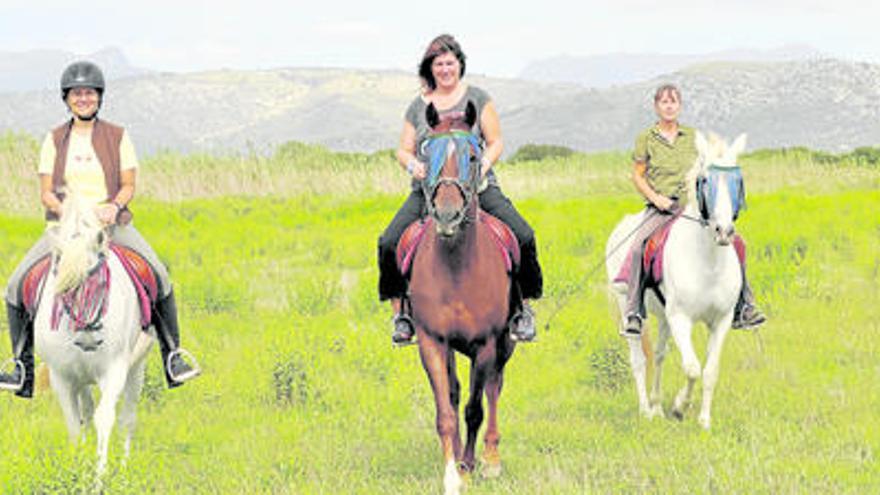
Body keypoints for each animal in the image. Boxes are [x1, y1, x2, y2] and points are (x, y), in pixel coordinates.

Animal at [34, 197, 154, 472]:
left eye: (101, 284)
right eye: (63, 291)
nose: (88, 341)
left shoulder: (114, 371)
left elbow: (105, 418)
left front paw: (100, 474)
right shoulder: (63, 377)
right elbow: (74, 425)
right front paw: (77, 467)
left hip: (136, 368)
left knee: (127, 418)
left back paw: (123, 468)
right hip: (81, 377)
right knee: (86, 413)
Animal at [410, 101, 520, 495]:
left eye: (473, 156)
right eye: (425, 153)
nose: (446, 214)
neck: (457, 265)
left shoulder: (486, 344)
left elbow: (475, 409)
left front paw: (472, 466)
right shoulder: (432, 341)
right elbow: (446, 410)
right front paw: (452, 472)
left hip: (503, 345)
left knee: (493, 390)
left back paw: (491, 459)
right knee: (458, 392)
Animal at [608, 132, 744, 430]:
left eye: (738, 180)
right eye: (704, 180)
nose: (724, 231)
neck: (708, 262)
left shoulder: (722, 319)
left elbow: (709, 371)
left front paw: (704, 420)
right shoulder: (681, 317)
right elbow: (692, 368)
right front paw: (681, 406)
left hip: (663, 316)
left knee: (659, 355)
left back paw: (657, 406)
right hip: (627, 305)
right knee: (638, 359)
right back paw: (645, 410)